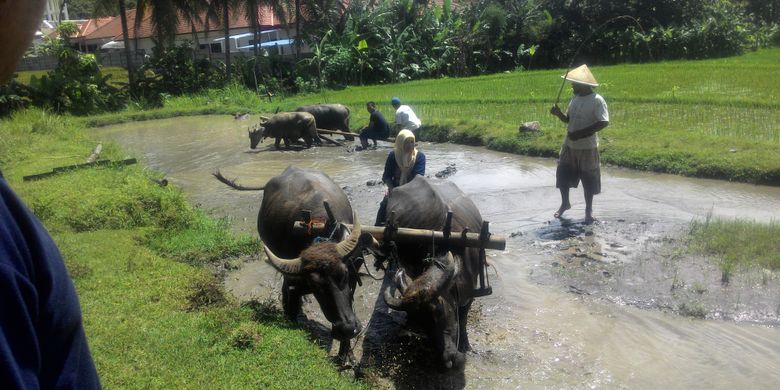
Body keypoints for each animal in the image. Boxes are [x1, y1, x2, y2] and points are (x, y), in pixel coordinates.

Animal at [258, 166, 364, 364]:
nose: (346, 328)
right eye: (316, 285)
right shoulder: (292, 284)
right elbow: (290, 306)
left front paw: (346, 354)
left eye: (345, 274)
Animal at [382, 177, 484, 368]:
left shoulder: (469, 295)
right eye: (420, 322)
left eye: (439, 310)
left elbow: (463, 319)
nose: (448, 359)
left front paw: (465, 344)